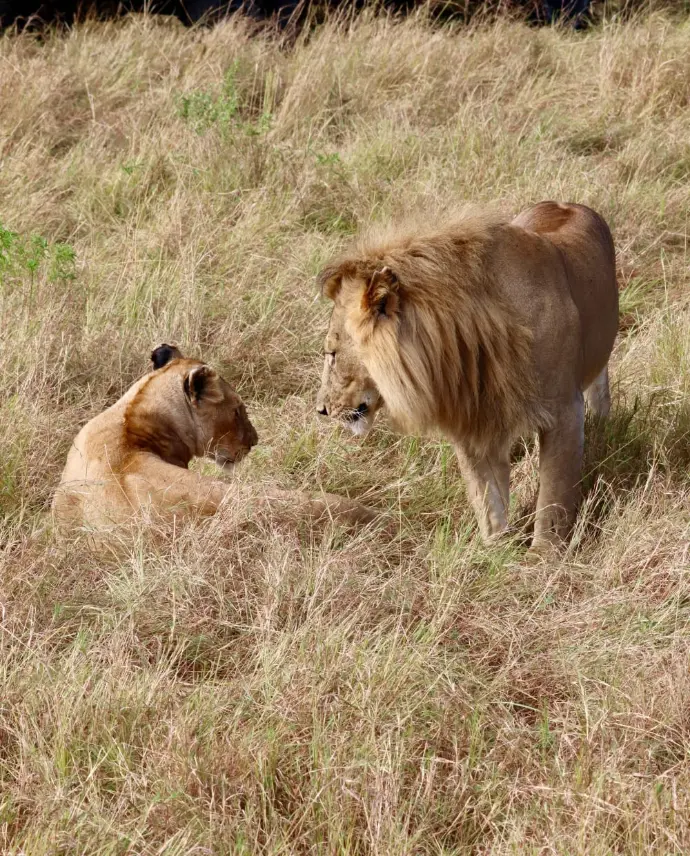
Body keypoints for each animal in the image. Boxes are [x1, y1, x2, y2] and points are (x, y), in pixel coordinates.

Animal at [316, 201, 619, 555]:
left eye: (332, 353)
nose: (321, 410)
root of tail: (565, 203)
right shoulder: (474, 419)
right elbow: (486, 495)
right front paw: (496, 550)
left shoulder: (564, 413)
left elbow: (553, 497)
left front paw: (543, 555)